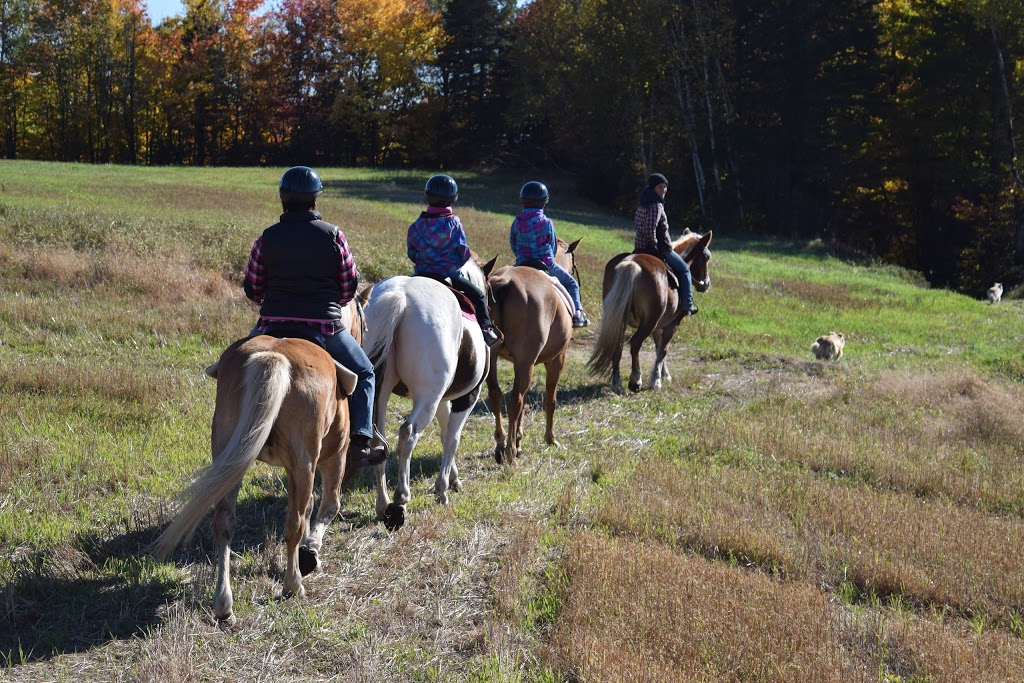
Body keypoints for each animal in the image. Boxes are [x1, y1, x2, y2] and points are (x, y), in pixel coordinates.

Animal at [149, 301, 362, 626]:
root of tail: (275, 358)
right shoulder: (333, 455)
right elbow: (327, 506)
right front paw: (310, 552)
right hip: (304, 462)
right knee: (294, 521)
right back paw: (292, 585)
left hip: (230, 459)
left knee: (224, 522)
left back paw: (224, 604)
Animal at [358, 255, 493, 528]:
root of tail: (400, 296)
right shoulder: (466, 398)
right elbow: (452, 438)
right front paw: (442, 489)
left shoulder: (443, 400)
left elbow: (444, 434)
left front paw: (453, 479)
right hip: (427, 398)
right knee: (408, 434)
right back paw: (401, 497)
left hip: (381, 392)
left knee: (379, 442)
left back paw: (382, 505)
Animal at [483, 236, 581, 464]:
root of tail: (504, 282)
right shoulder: (556, 359)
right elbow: (549, 400)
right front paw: (550, 439)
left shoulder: (523, 363)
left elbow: (526, 400)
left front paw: (519, 439)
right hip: (529, 362)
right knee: (514, 401)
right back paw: (509, 450)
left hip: (496, 357)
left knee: (496, 396)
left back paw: (501, 444)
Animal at [585, 229, 712, 393]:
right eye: (707, 257)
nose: (707, 283)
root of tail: (631, 263)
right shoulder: (672, 324)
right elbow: (663, 349)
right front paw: (656, 380)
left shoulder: (658, 326)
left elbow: (659, 348)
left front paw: (664, 375)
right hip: (648, 322)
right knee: (635, 344)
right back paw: (635, 380)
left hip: (620, 320)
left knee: (618, 346)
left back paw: (617, 384)